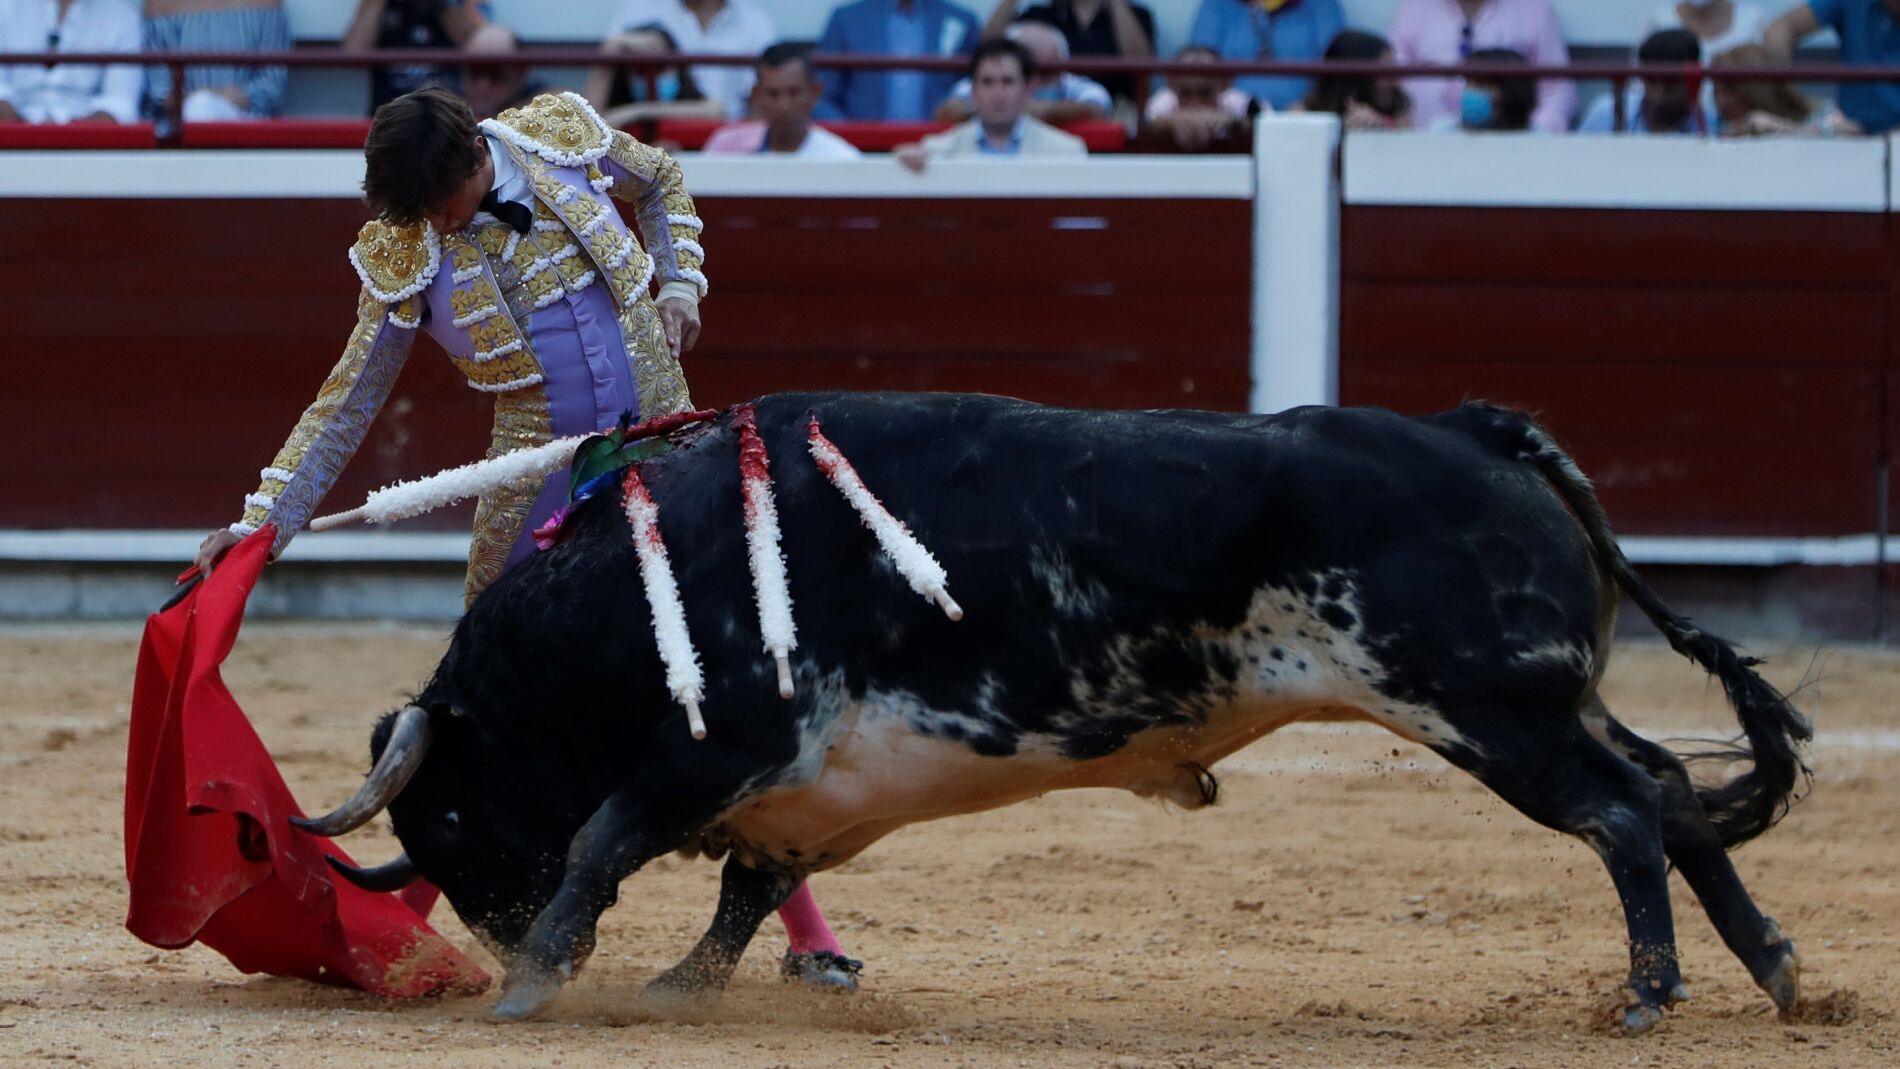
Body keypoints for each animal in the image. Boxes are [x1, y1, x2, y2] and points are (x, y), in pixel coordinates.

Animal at [294, 391, 1810, 1035]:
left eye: (447, 813)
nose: (489, 939)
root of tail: (1475, 430)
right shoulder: (807, 794)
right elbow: (739, 889)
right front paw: (680, 988)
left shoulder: (728, 747)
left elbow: (610, 838)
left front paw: (544, 979)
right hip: (1548, 699)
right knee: (1673, 795)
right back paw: (1780, 971)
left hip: (1487, 710)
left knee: (1620, 815)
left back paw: (1651, 992)